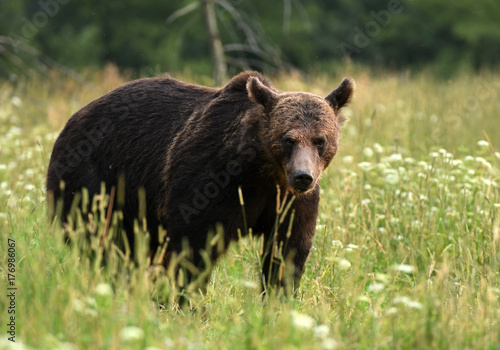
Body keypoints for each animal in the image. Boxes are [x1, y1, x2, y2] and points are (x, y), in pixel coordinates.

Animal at [46, 71, 352, 298]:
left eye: (320, 139)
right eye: (288, 139)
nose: (303, 176)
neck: (261, 171)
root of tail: (73, 119)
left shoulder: (288, 201)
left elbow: (287, 251)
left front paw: (278, 302)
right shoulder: (210, 179)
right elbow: (193, 247)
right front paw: (189, 305)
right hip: (94, 179)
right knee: (101, 239)